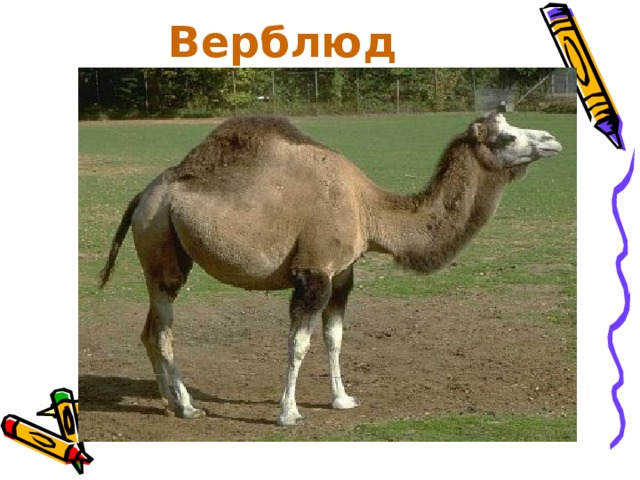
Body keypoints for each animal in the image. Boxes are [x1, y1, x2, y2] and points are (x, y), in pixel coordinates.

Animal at [99, 112, 562, 426]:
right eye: (507, 135)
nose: (553, 139)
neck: (367, 208)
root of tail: (143, 195)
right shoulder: (313, 273)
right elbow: (299, 342)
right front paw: (288, 413)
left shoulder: (342, 275)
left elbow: (334, 337)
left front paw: (342, 399)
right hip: (159, 240)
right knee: (164, 330)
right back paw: (190, 406)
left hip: (163, 251)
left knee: (150, 329)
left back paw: (169, 401)